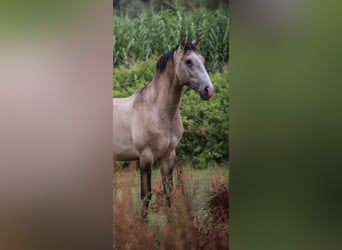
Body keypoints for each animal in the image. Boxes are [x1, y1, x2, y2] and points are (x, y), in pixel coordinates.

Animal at [113, 38, 214, 220]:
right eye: (188, 61)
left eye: (203, 60)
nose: (209, 90)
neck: (156, 109)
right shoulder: (145, 157)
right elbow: (146, 195)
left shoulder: (168, 156)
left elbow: (169, 193)